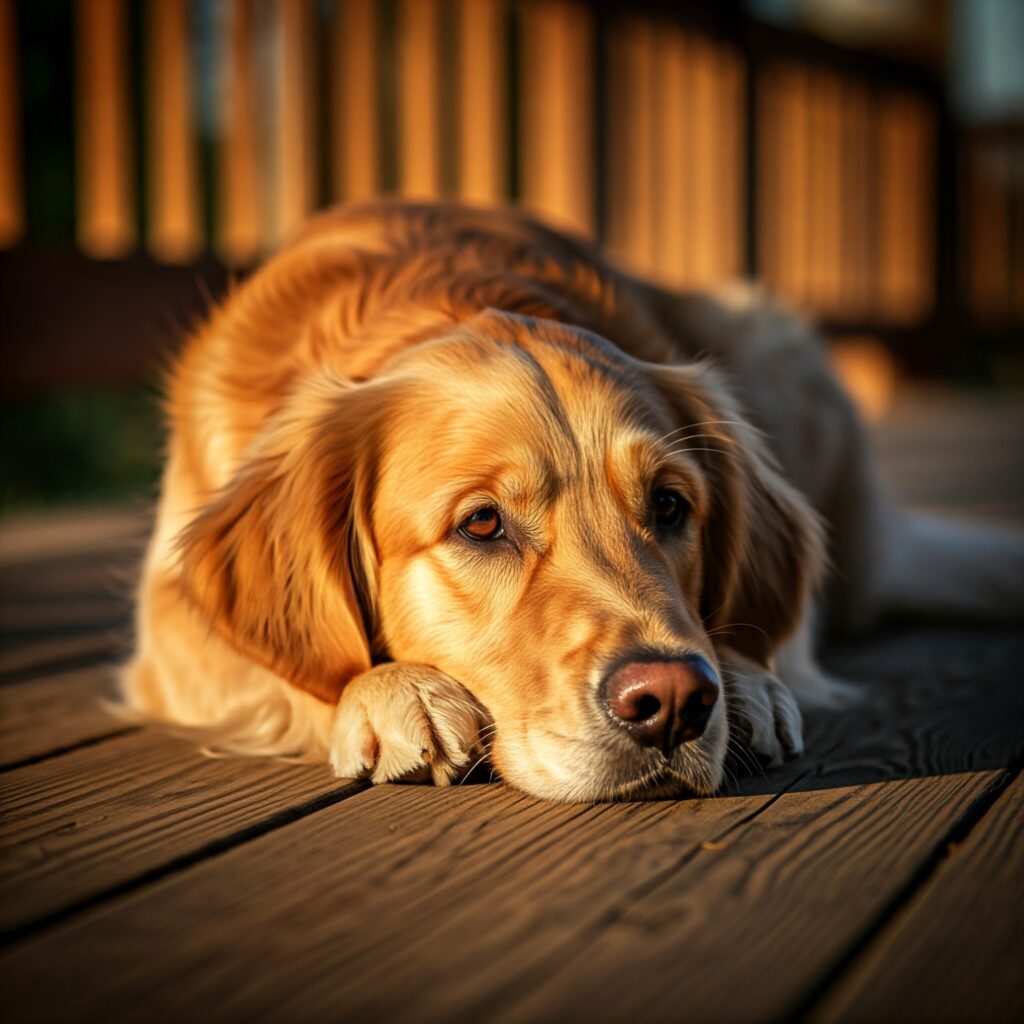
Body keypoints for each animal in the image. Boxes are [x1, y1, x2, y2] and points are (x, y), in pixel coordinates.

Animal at [121, 199, 1024, 802]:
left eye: (670, 507)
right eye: (482, 523)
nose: (673, 703)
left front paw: (749, 680)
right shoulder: (169, 622)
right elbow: (276, 670)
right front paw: (392, 692)